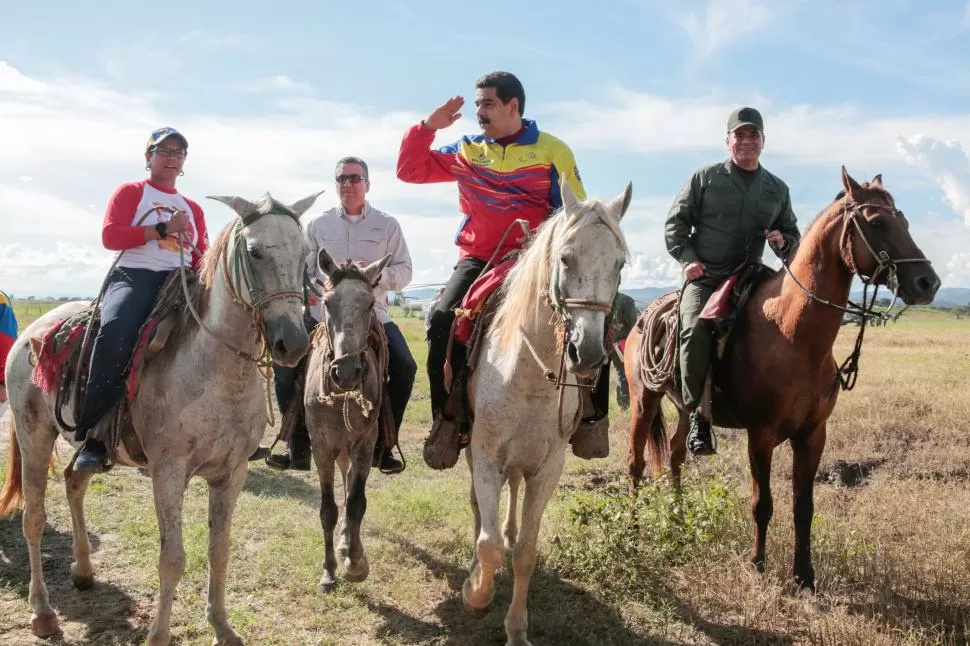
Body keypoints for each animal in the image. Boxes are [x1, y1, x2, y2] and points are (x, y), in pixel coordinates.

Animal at [0, 192, 320, 646]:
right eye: (255, 252)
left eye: (306, 256)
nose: (291, 343)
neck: (213, 366)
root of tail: (34, 332)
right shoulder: (168, 471)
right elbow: (172, 558)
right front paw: (159, 635)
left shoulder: (233, 472)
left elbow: (219, 550)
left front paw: (222, 627)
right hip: (34, 436)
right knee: (33, 519)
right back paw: (43, 612)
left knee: (74, 481)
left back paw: (83, 572)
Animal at [304, 251, 392, 596]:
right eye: (327, 302)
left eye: (369, 303)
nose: (347, 372)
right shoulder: (321, 447)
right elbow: (328, 509)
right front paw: (328, 572)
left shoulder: (365, 443)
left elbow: (356, 503)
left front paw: (356, 564)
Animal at [464, 182, 636, 646]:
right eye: (565, 258)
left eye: (619, 264)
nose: (587, 353)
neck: (527, 372)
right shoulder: (485, 456)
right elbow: (487, 545)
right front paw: (476, 594)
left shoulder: (548, 467)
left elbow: (525, 550)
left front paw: (517, 628)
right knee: (480, 511)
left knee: (512, 496)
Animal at [624, 167, 932, 592]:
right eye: (876, 222)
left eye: (904, 221)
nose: (928, 282)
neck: (792, 333)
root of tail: (644, 317)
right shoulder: (761, 435)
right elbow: (762, 503)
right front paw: (757, 564)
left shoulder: (813, 434)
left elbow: (804, 507)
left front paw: (804, 576)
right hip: (643, 400)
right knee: (636, 464)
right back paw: (633, 533)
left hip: (685, 406)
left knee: (675, 454)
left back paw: (679, 519)